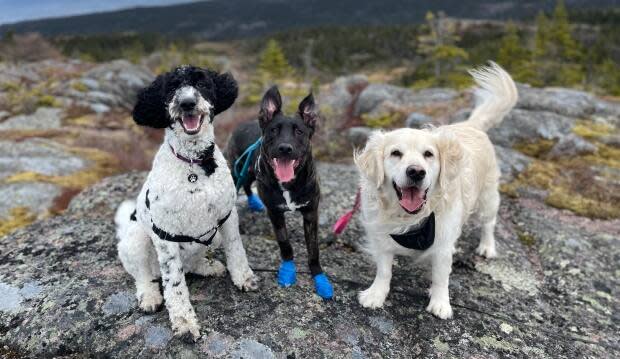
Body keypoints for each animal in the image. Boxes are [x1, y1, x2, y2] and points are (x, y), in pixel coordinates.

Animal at [229, 86, 334, 300]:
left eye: (300, 131)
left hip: (249, 171)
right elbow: (285, 243)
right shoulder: (275, 213)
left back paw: (253, 203)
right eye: (274, 130)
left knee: (248, 185)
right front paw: (288, 270)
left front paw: (319, 277)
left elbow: (313, 249)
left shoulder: (311, 214)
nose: (285, 148)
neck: (289, 184)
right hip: (237, 171)